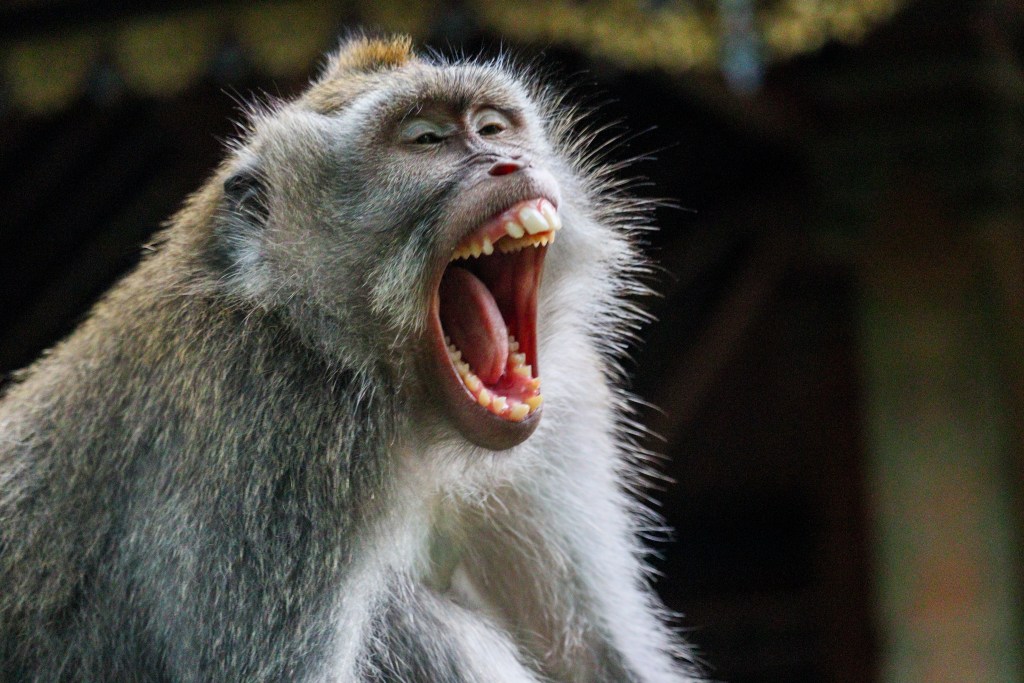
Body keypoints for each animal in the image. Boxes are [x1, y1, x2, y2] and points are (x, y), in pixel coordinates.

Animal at [0, 35, 702, 682]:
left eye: (492, 128)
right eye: (425, 140)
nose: (507, 162)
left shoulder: (567, 399)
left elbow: (597, 657)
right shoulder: (276, 429)